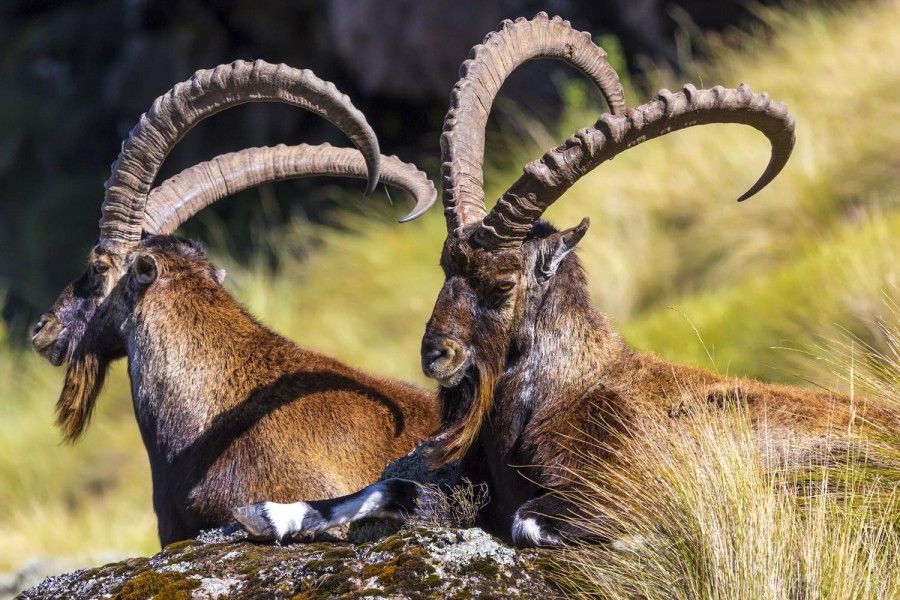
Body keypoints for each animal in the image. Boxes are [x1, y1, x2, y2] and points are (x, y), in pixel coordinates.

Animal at [232, 14, 891, 548]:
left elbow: (528, 521)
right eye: (445, 269)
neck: (560, 388)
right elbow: (393, 486)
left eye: (503, 285)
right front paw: (269, 514)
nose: (436, 354)